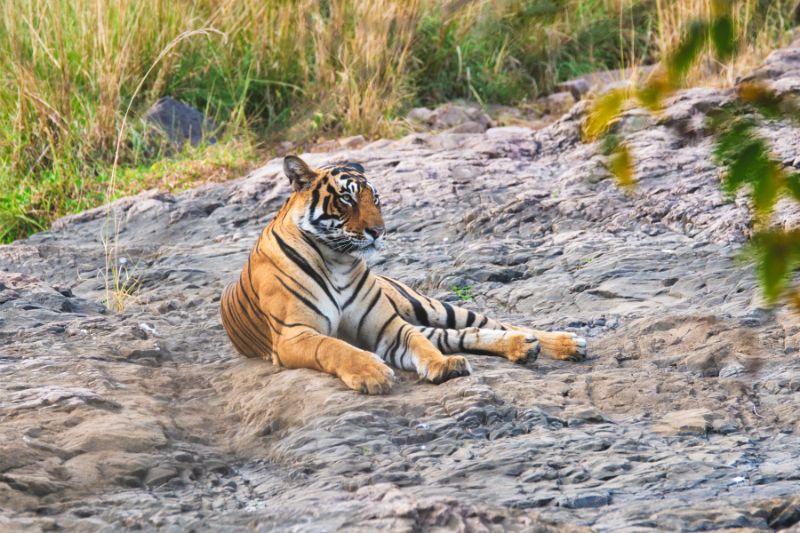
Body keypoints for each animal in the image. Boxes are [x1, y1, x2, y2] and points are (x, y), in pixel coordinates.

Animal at [219, 156, 588, 392]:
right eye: (347, 199)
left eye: (377, 200)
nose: (379, 232)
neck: (337, 259)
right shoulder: (294, 335)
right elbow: (336, 347)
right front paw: (372, 373)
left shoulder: (388, 326)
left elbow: (419, 344)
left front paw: (443, 366)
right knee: (462, 334)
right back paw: (525, 347)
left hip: (429, 306)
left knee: (490, 323)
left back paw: (564, 343)